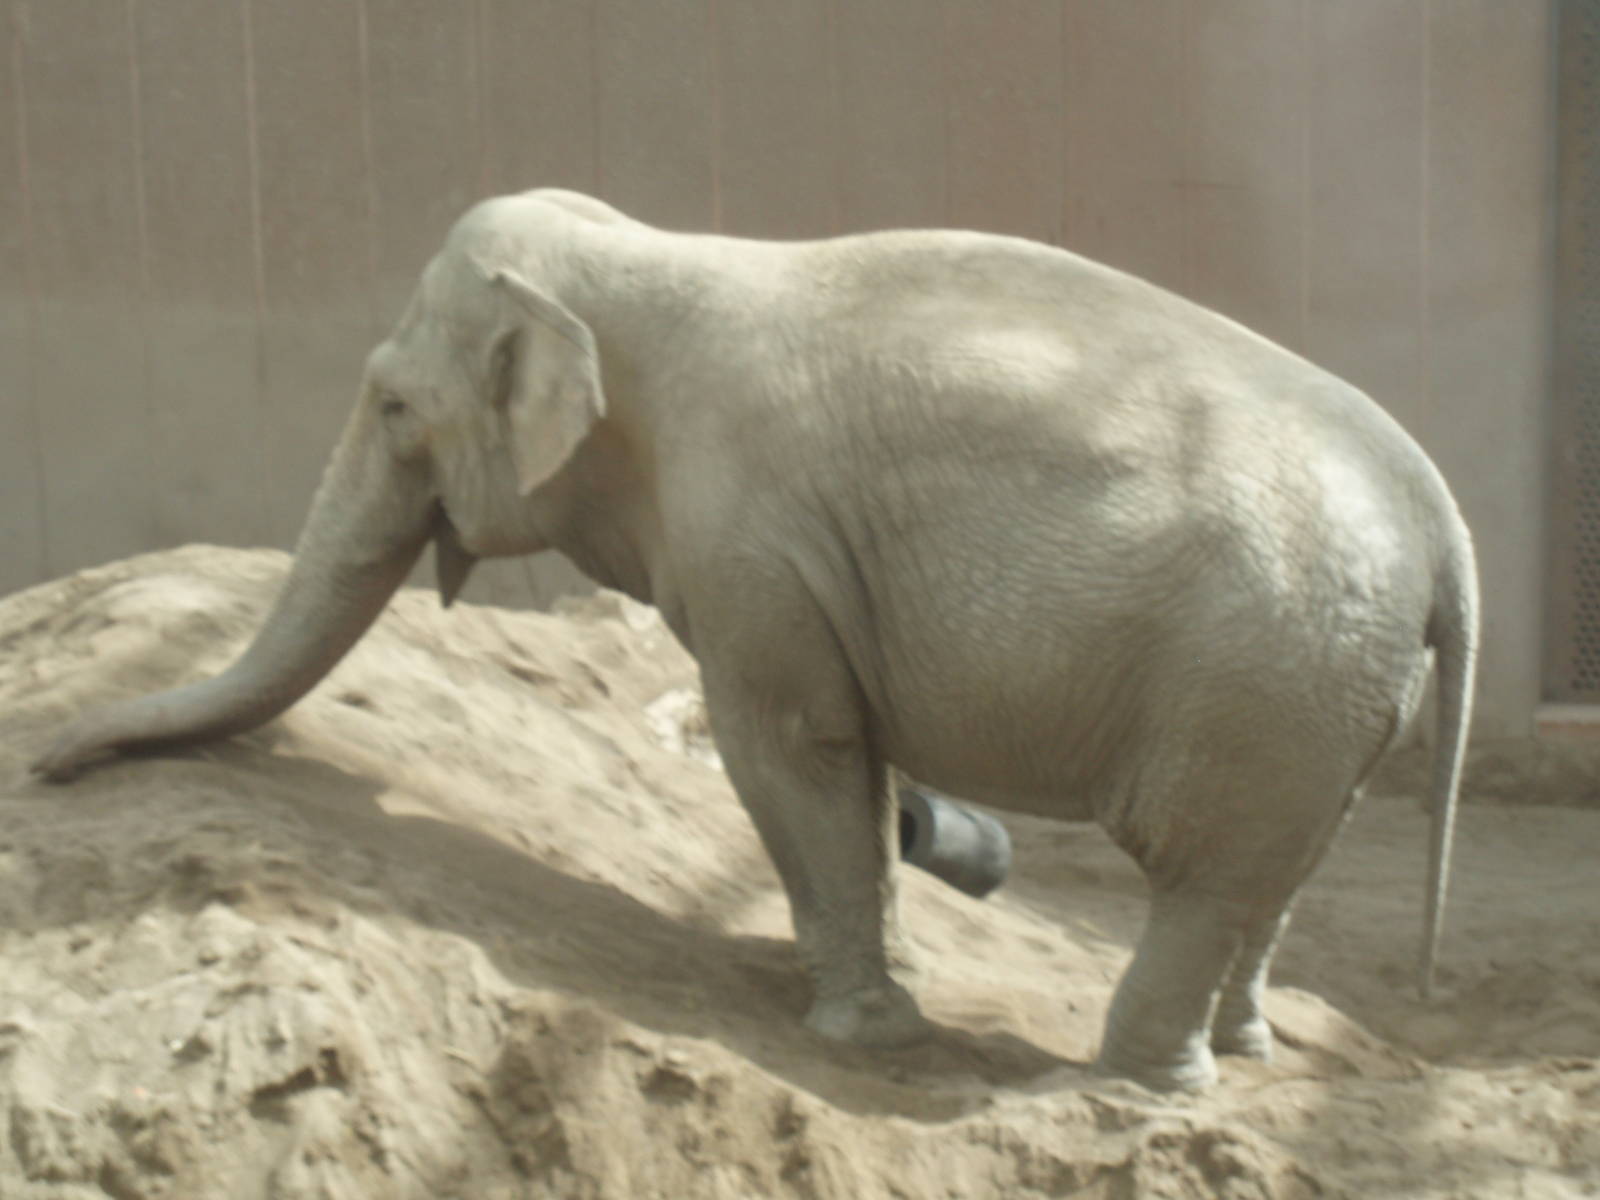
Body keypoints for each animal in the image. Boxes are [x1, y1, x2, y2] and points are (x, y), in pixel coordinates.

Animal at [31, 188, 1477, 1093]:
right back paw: (1247, 1056)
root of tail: (1437, 512)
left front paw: (861, 1038)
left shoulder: (751, 540)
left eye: (392, 405)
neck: (638, 259)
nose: (44, 761)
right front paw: (882, 990)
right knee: (1281, 869)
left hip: (1261, 672)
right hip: (1333, 689)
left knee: (1203, 876)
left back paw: (1141, 1084)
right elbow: (857, 763)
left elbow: (788, 746)